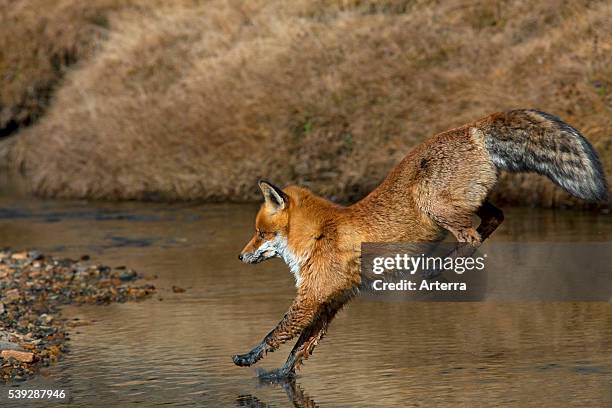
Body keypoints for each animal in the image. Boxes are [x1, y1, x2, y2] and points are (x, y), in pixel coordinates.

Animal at [233, 109, 608, 380]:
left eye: (260, 233)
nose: (240, 256)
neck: (319, 234)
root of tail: (470, 128)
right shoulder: (330, 302)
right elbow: (300, 348)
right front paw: (281, 376)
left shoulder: (311, 298)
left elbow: (276, 333)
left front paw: (249, 357)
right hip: (466, 202)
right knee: (495, 217)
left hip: (433, 204)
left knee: (472, 237)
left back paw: (437, 269)